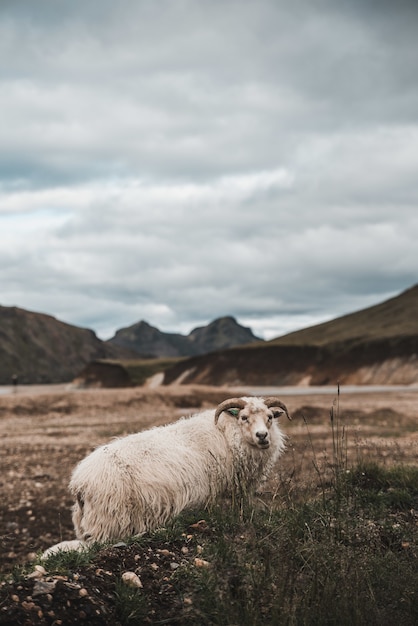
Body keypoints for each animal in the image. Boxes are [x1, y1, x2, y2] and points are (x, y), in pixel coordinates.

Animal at [43, 398, 290, 552]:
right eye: (244, 417)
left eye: (270, 416)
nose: (262, 436)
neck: (226, 433)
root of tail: (79, 482)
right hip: (109, 520)